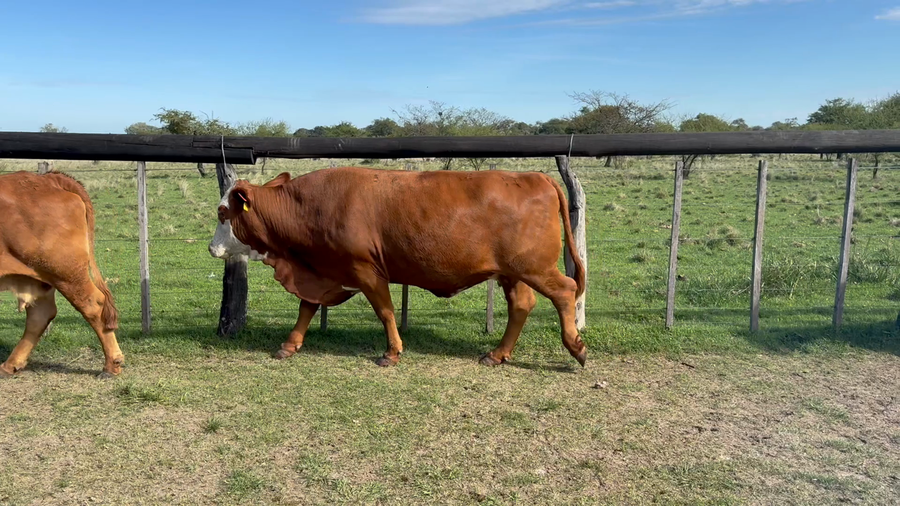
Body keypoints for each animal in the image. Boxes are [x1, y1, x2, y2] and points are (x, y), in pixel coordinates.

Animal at [0, 171, 123, 378]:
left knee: (93, 305)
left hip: (66, 274)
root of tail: (48, 178)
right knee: (40, 315)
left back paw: (111, 366)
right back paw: (11, 365)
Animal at [208, 166, 587, 368]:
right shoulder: (324, 270)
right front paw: (289, 344)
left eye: (223, 212)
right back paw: (498, 353)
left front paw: (392, 352)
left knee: (565, 292)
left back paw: (576, 346)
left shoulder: (365, 270)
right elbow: (307, 308)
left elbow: (386, 311)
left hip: (535, 268)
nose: (212, 248)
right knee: (522, 305)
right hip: (512, 273)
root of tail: (535, 176)